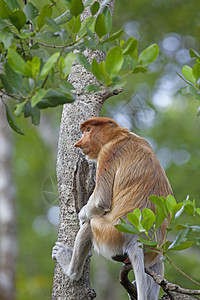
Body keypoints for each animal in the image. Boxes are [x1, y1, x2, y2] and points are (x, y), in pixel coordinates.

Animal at [52, 117, 173, 300]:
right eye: (84, 131)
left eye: (88, 130)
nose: (78, 143)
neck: (119, 136)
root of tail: (136, 238)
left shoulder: (108, 154)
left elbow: (101, 201)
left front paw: (81, 216)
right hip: (151, 250)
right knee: (156, 262)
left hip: (110, 235)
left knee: (91, 225)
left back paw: (70, 268)